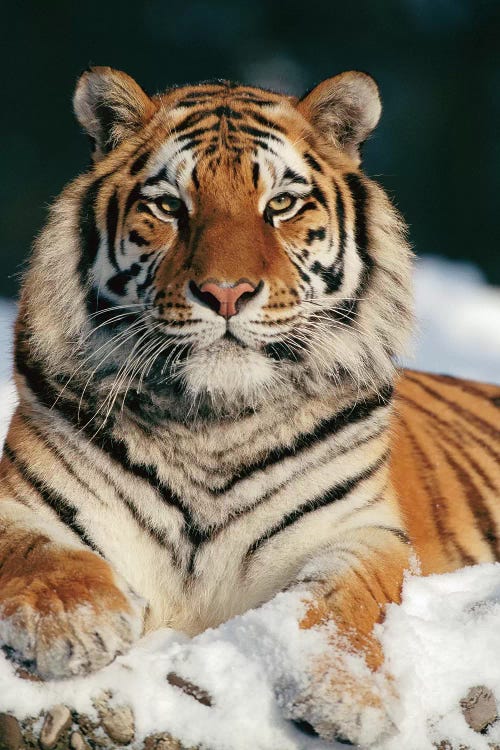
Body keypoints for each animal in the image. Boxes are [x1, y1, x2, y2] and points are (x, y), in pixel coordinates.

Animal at [0, 67, 498, 748]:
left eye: (281, 205)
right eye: (169, 206)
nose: (226, 293)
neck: (212, 420)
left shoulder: (362, 530)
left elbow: (343, 599)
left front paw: (349, 696)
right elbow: (37, 549)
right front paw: (74, 624)